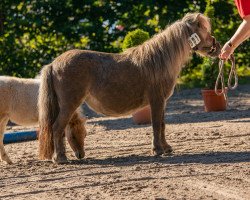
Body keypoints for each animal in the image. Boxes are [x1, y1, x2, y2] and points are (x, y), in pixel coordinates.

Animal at [38, 12, 221, 163]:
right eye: (203, 29)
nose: (217, 46)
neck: (158, 62)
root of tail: (53, 64)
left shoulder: (162, 102)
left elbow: (162, 124)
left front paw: (166, 148)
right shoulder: (156, 101)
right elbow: (156, 124)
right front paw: (158, 150)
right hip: (69, 104)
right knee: (57, 127)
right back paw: (61, 158)